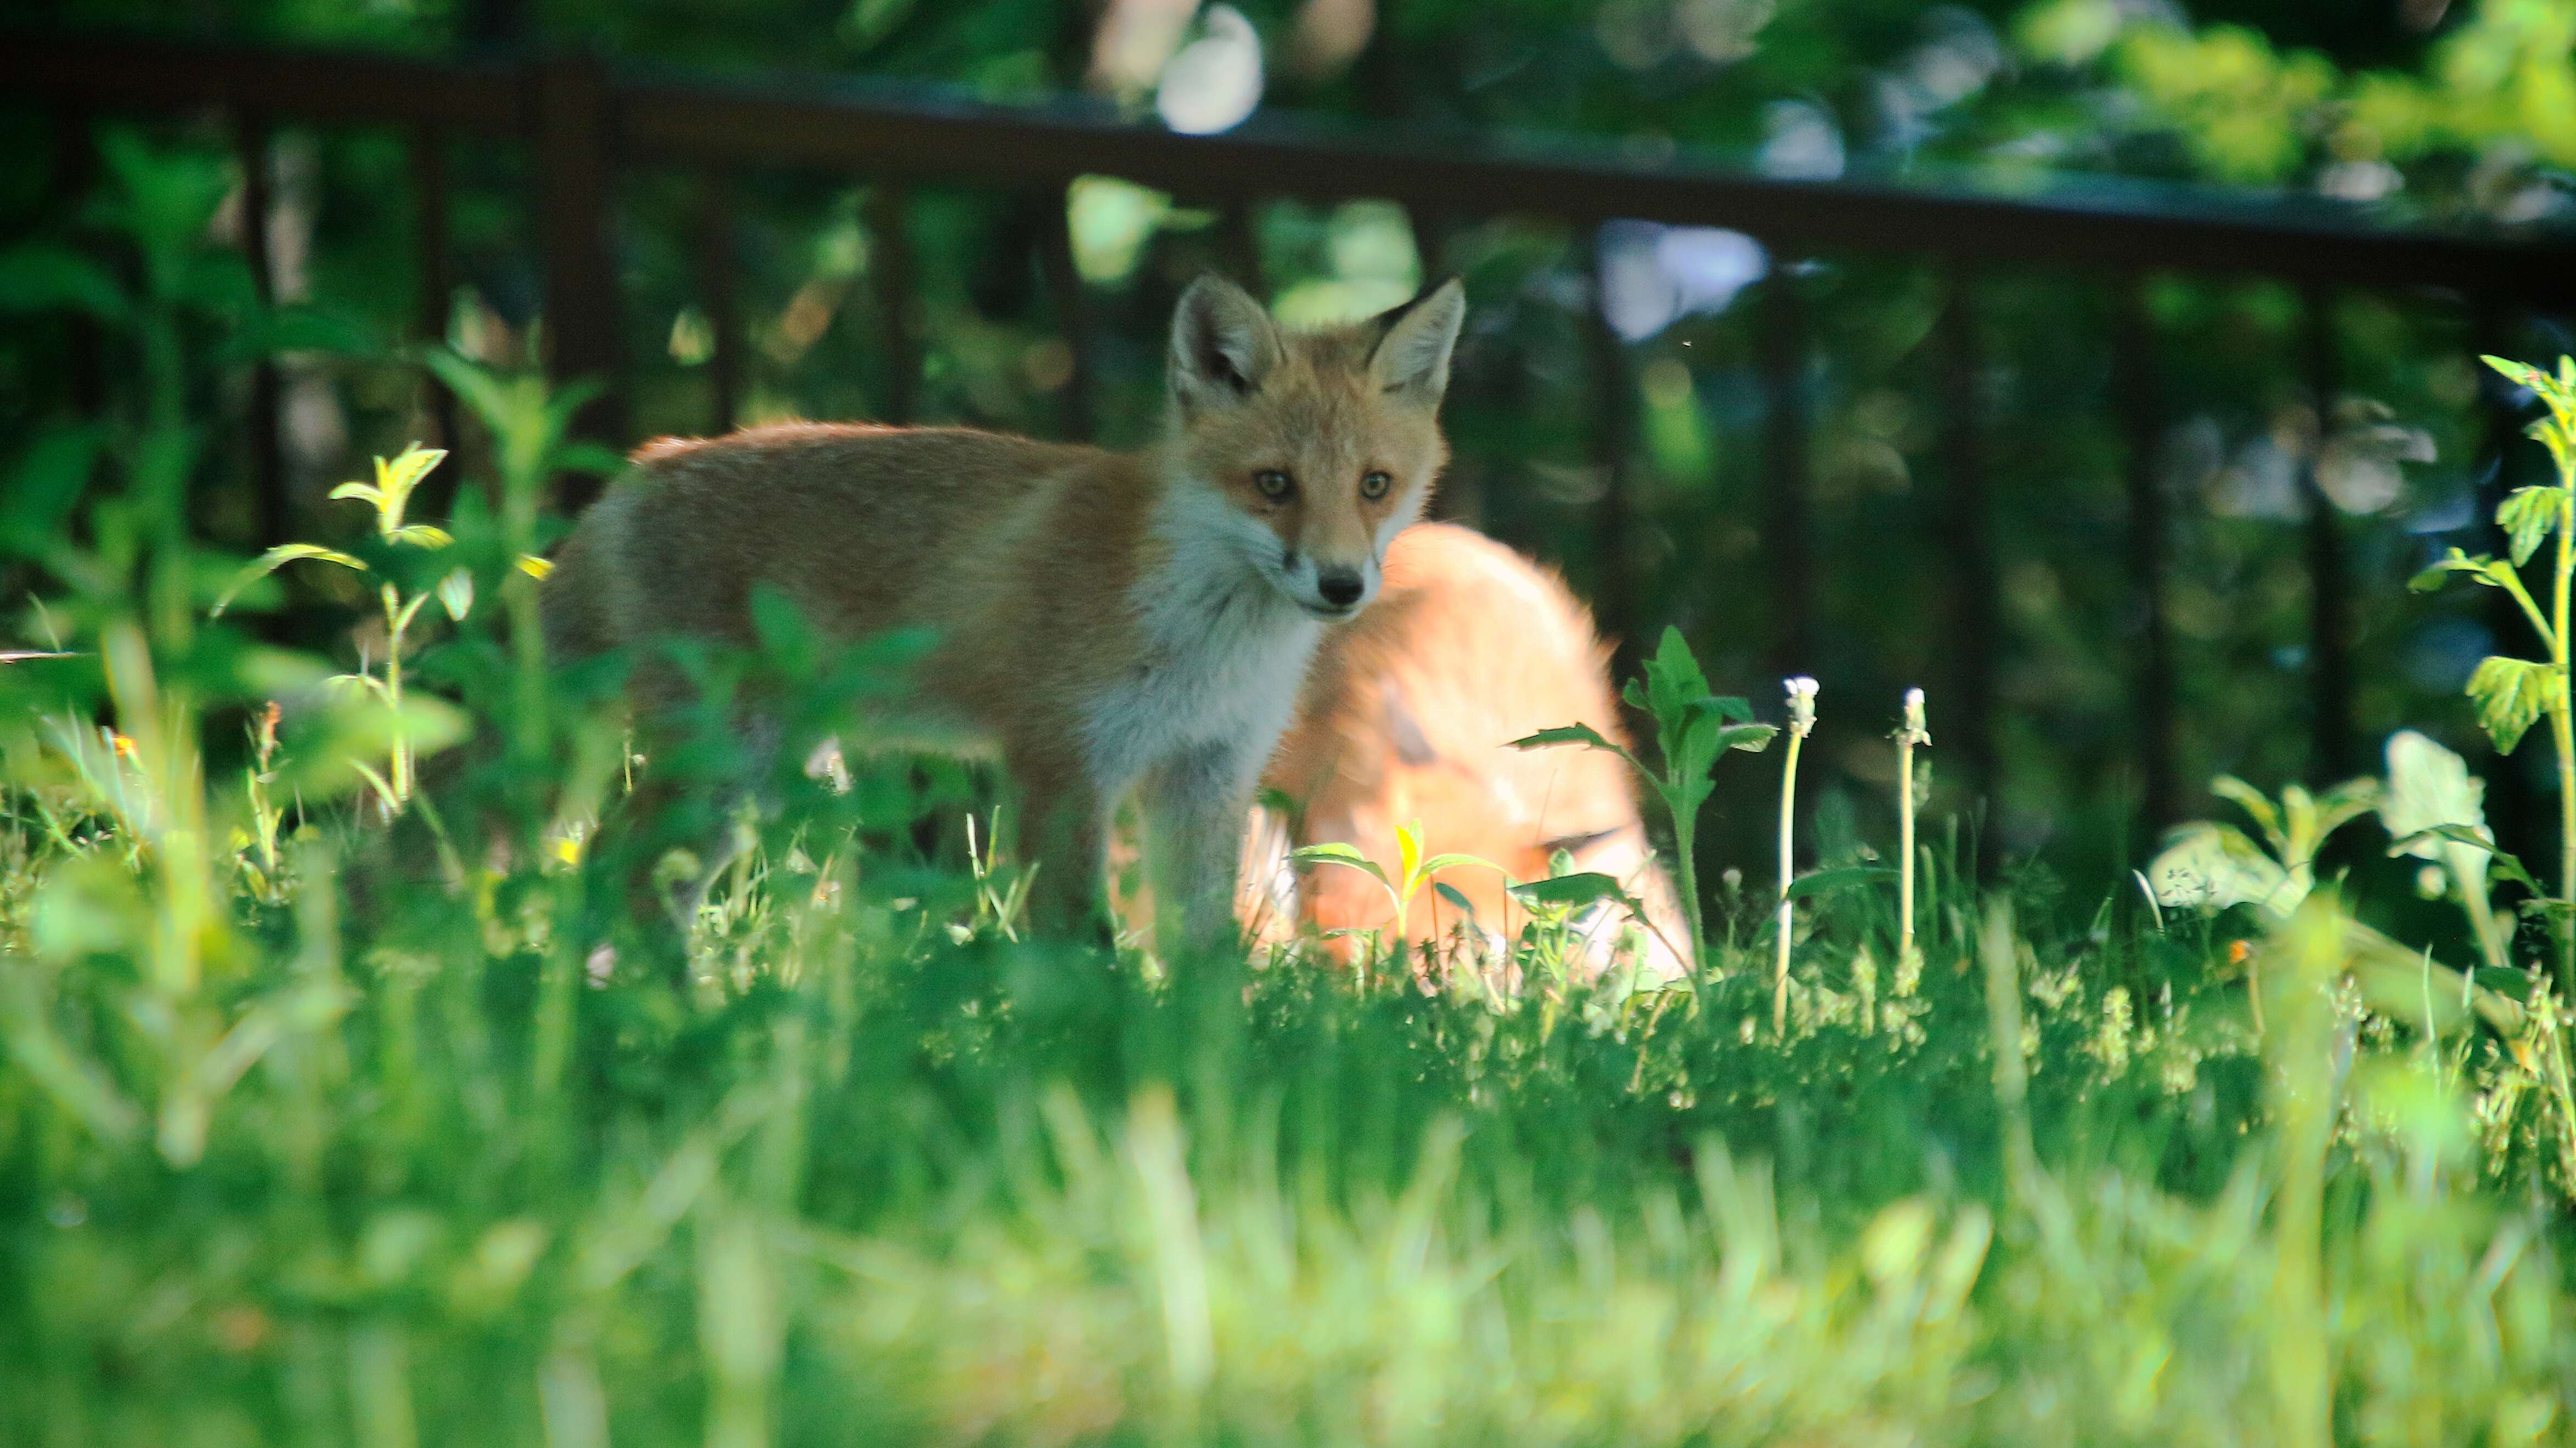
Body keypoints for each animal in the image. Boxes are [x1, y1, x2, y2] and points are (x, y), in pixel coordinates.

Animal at [543, 273, 1473, 948]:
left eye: (1374, 485)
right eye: (1273, 483)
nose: (1341, 585)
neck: (1204, 640)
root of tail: (640, 468)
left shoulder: (1206, 771)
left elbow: (1204, 956)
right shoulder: (1060, 762)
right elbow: (1081, 947)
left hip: (759, 772)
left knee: (630, 879)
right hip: (729, 760)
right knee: (613, 870)